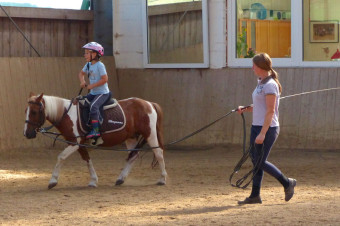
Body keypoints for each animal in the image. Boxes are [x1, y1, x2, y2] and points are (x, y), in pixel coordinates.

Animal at [23, 92, 167, 189]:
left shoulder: (74, 143)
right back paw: (120, 179)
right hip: (131, 137)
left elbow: (61, 157)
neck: (66, 115)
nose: (27, 133)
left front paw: (53, 181)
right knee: (133, 156)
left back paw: (162, 179)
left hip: (150, 134)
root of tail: (149, 104)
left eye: (34, 112)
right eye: (26, 111)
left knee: (159, 153)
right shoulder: (78, 143)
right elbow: (87, 159)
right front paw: (93, 180)